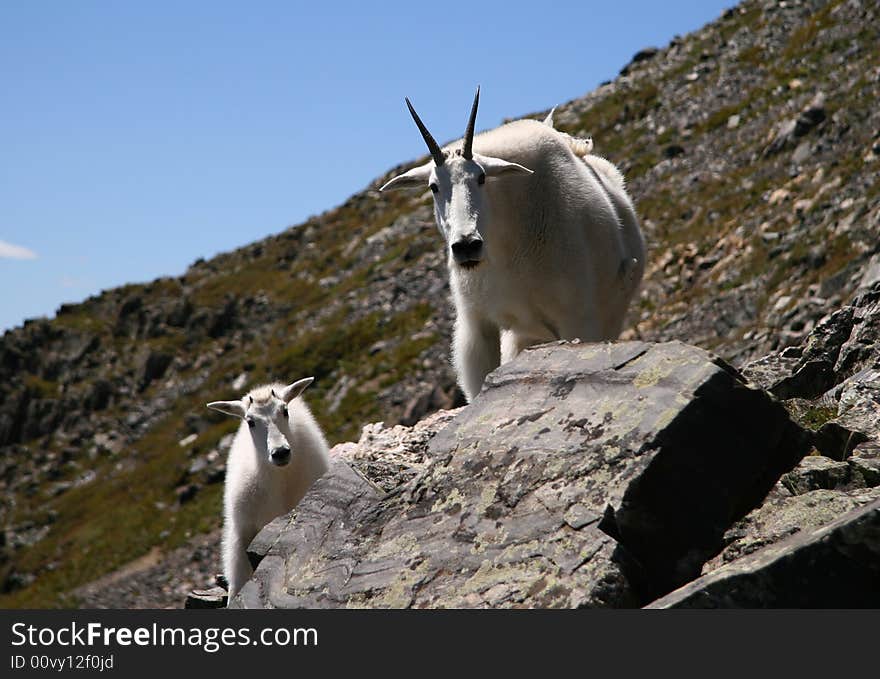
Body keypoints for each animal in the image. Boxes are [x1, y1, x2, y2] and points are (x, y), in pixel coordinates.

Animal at [380, 87, 648, 402]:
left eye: (482, 177)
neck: (505, 248)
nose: (467, 246)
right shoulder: (478, 324)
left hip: (607, 315)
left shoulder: (575, 317)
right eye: (433, 187)